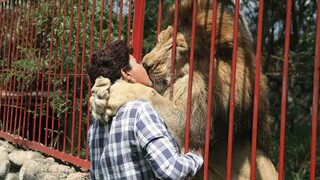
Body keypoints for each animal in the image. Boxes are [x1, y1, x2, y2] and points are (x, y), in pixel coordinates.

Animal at [90, 0, 278, 179]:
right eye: (160, 39)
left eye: (179, 47)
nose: (145, 65)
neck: (190, 82)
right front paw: (98, 98)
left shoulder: (194, 131)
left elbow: (152, 95)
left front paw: (118, 91)